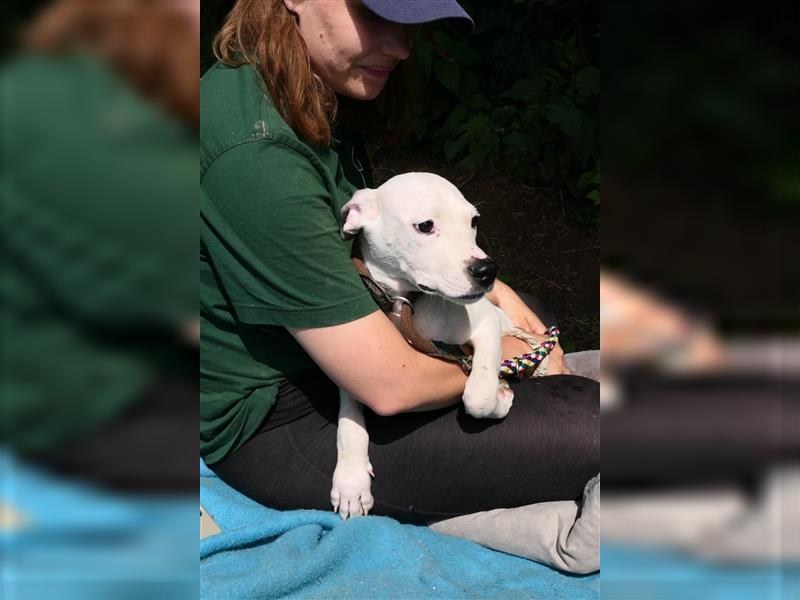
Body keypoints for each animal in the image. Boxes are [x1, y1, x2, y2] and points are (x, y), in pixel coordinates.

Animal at [332, 171, 536, 516]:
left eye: (474, 220)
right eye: (425, 226)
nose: (487, 270)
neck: (406, 305)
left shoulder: (486, 323)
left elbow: (478, 396)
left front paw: (500, 395)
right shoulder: (354, 368)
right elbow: (348, 419)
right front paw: (350, 480)